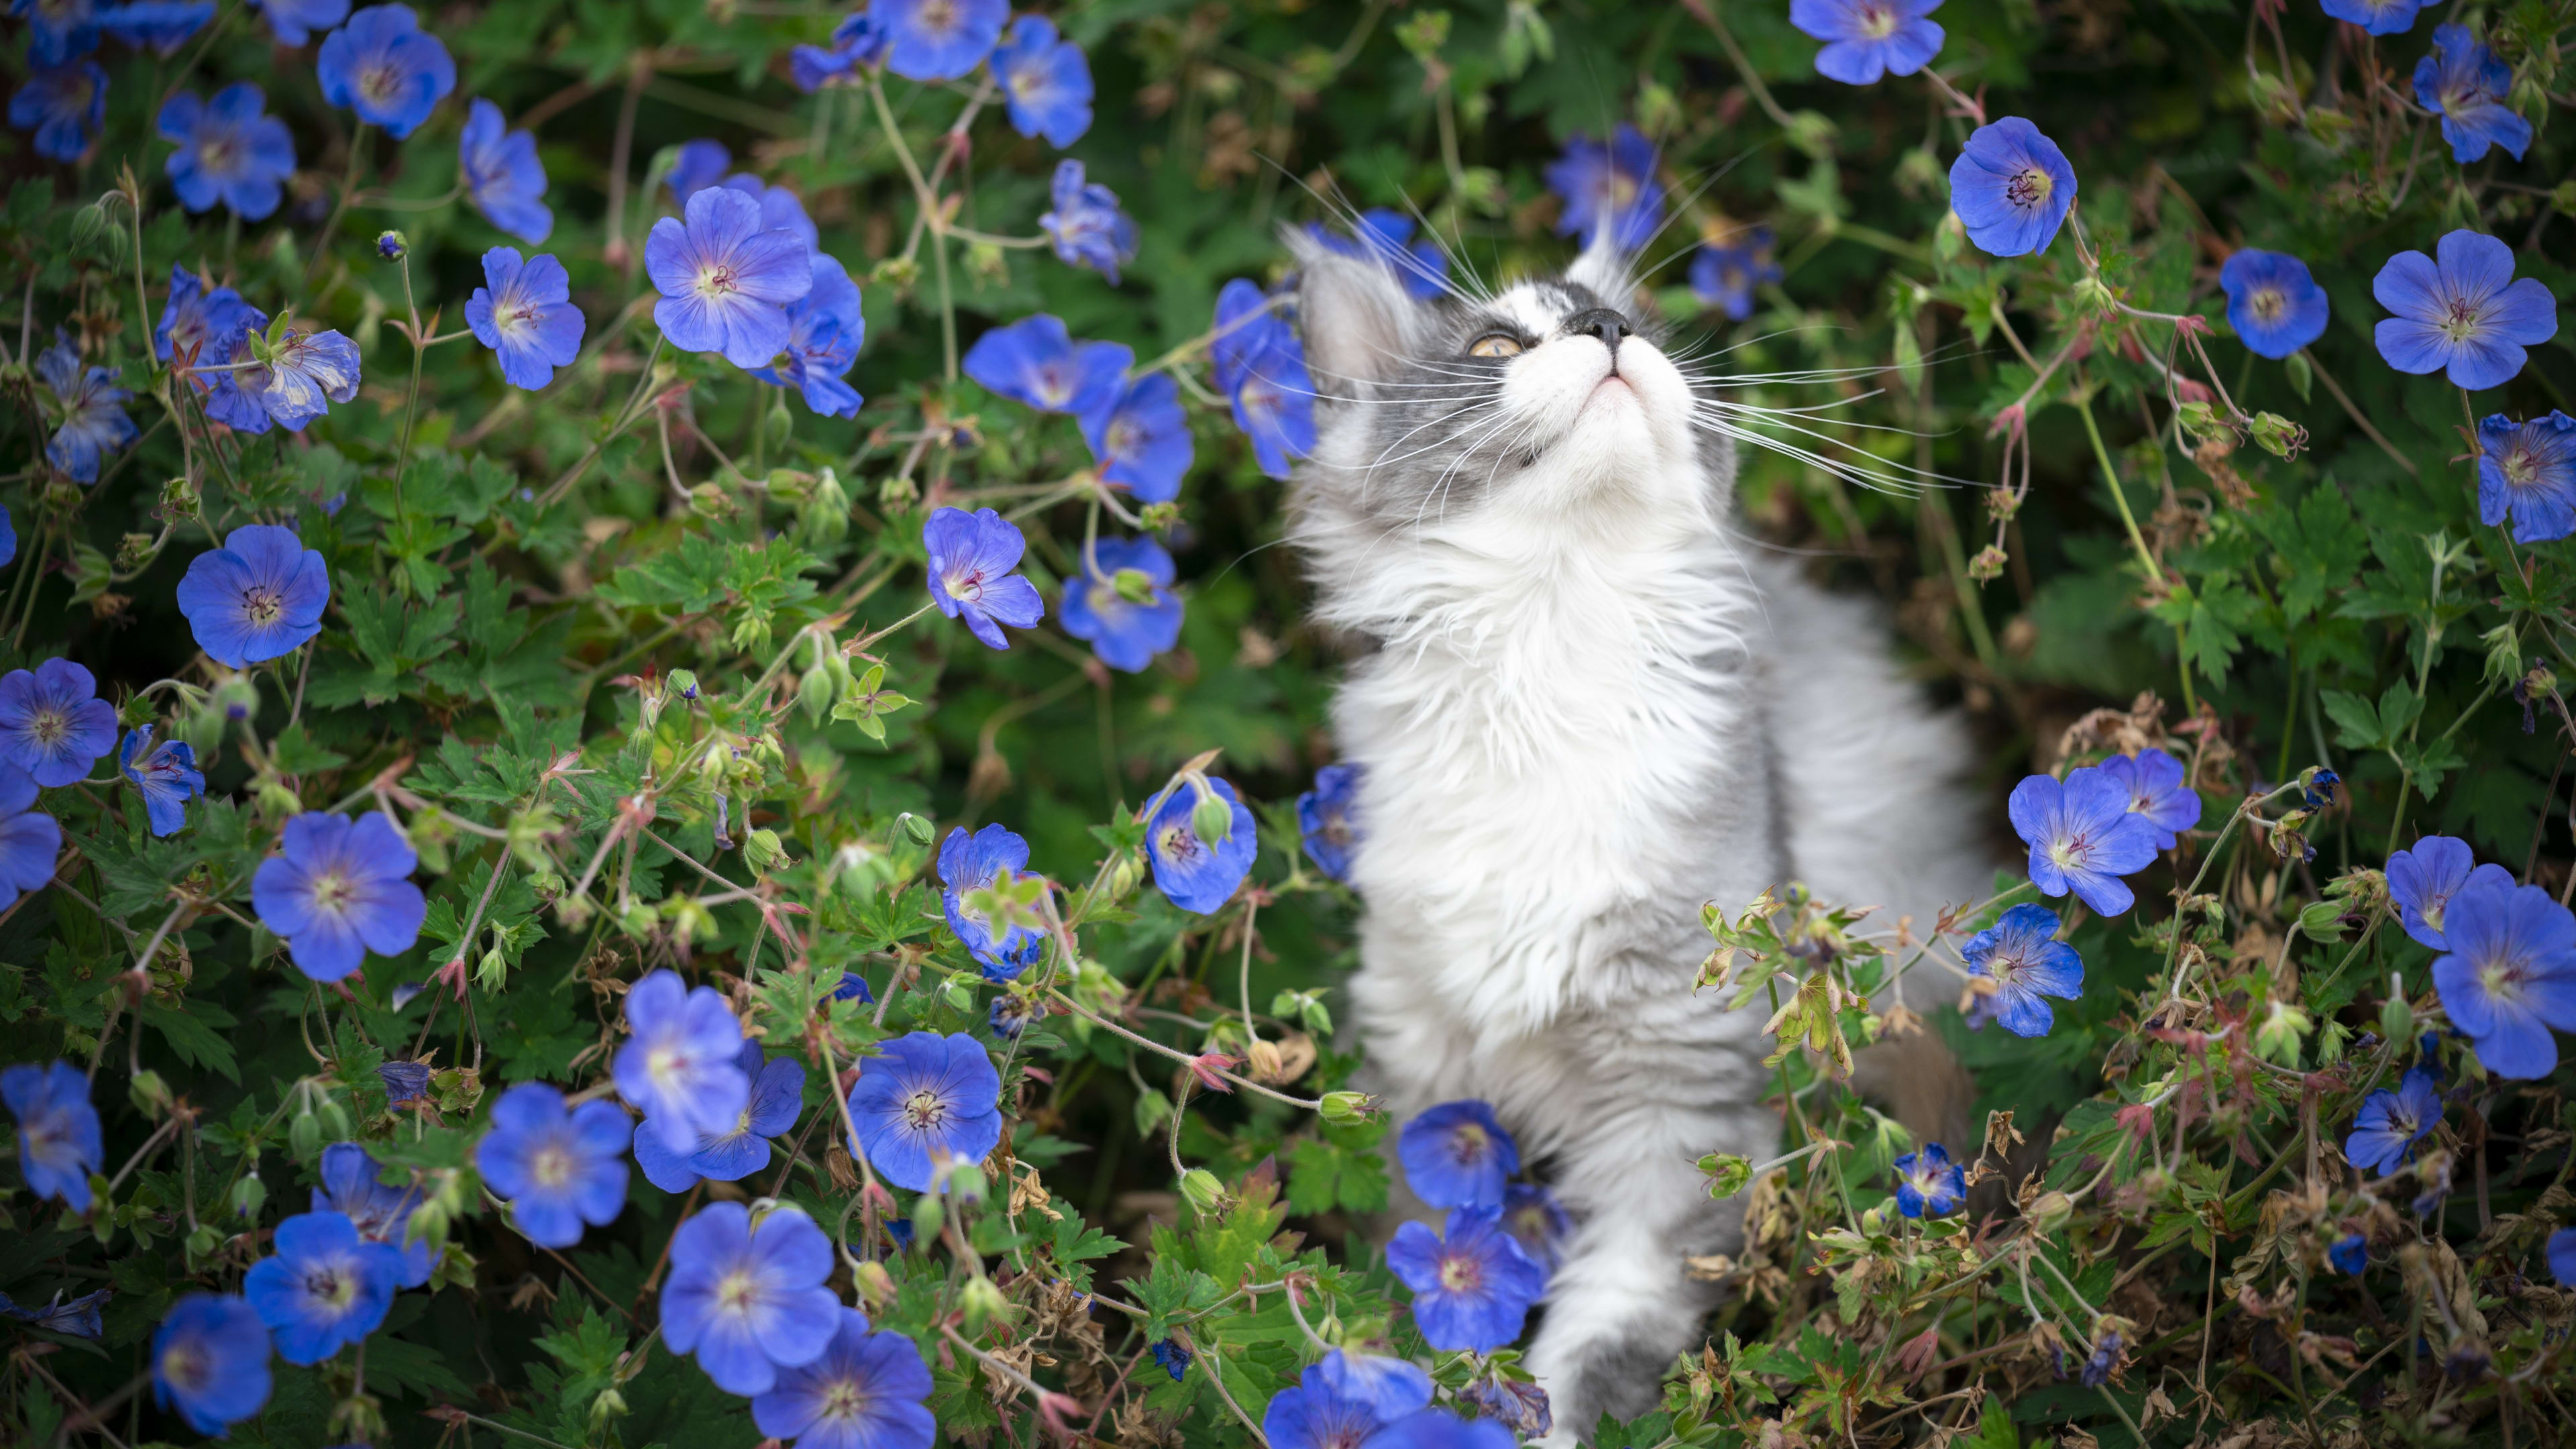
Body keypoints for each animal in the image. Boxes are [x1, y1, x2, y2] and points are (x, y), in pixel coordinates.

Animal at [1288, 223, 1988, 1433]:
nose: (1611, 331)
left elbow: (1596, 1350)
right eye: (1496, 344)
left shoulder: (1683, 1103)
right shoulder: (1421, 1064)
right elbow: (1412, 1282)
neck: (1553, 642)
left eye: (1634, 327)